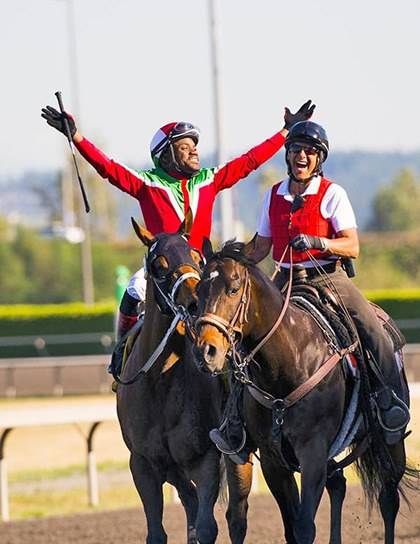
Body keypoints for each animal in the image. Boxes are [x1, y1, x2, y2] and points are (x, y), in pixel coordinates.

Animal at [115, 217, 226, 544]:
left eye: (197, 258)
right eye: (160, 265)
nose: (196, 303)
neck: (159, 383)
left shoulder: (205, 457)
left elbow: (206, 527)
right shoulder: (143, 463)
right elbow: (158, 531)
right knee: (189, 500)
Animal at [194, 242, 416, 544]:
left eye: (233, 288)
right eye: (198, 291)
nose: (206, 351)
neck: (290, 359)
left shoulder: (312, 450)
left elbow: (303, 527)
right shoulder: (274, 460)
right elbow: (291, 525)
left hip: (391, 442)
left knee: (388, 498)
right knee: (337, 485)